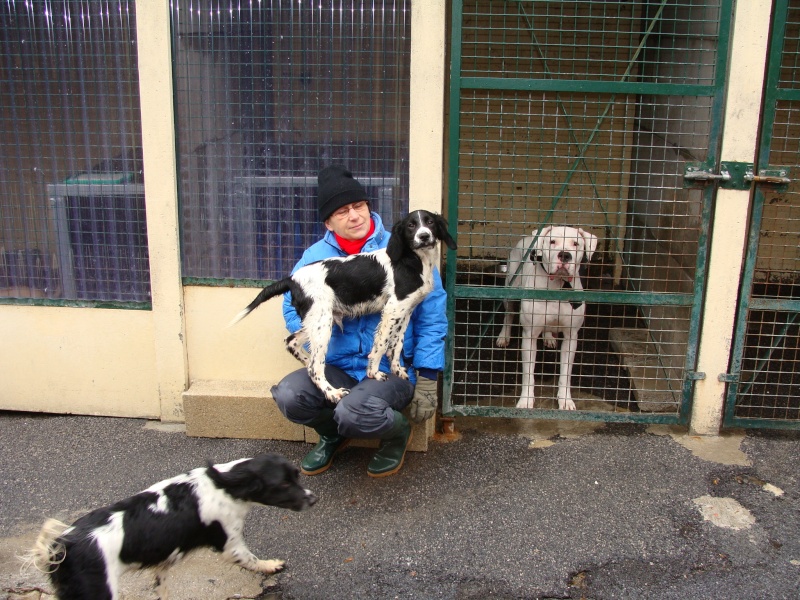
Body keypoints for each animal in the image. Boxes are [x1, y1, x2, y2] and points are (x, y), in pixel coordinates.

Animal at [28, 454, 316, 600]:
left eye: (296, 476)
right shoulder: (230, 543)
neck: (224, 483)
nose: (313, 498)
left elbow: (162, 587)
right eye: (283, 484)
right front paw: (271, 565)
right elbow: (253, 559)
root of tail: (62, 544)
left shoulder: (163, 563)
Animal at [231, 211, 456, 404]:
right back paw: (332, 392)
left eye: (430, 222)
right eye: (411, 225)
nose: (424, 236)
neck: (414, 260)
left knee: (292, 342)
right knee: (315, 367)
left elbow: (397, 343)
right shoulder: (393, 308)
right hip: (322, 323)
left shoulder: (406, 310)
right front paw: (374, 373)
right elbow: (381, 345)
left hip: (317, 320)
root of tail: (292, 278)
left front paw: (397, 369)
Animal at [496, 227, 596, 410]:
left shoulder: (571, 337)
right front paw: (526, 399)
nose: (565, 255)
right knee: (509, 315)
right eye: (552, 242)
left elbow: (565, 374)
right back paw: (503, 336)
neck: (557, 285)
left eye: (576, 243)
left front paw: (565, 399)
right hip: (510, 289)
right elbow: (528, 373)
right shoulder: (529, 335)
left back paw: (549, 337)